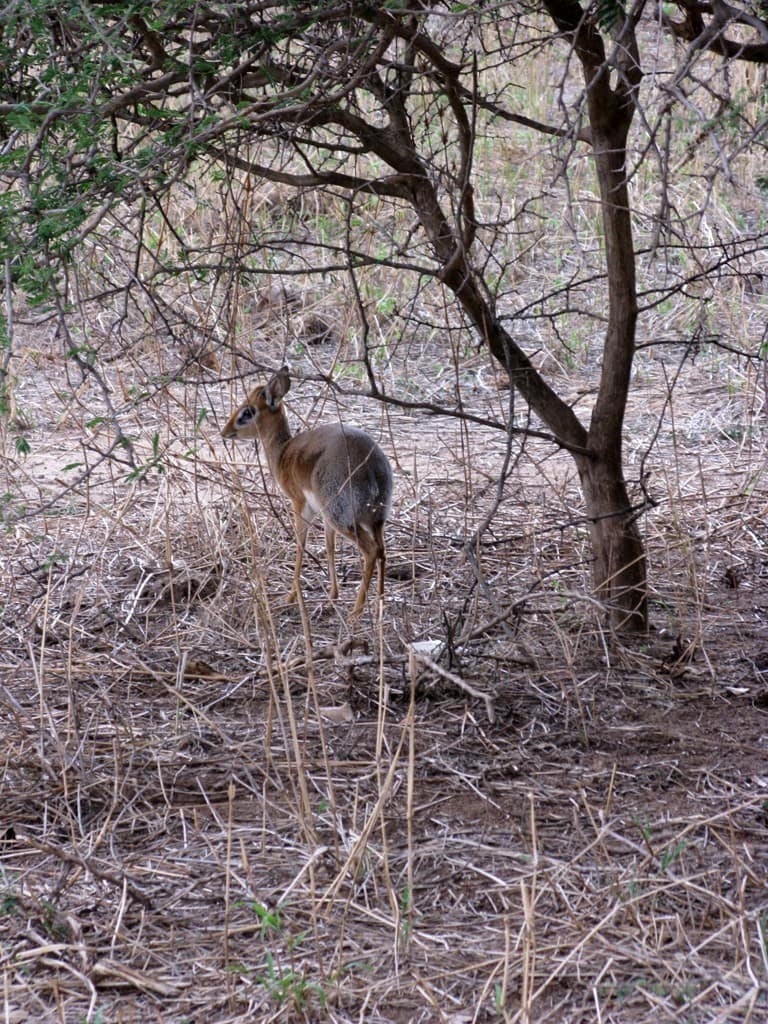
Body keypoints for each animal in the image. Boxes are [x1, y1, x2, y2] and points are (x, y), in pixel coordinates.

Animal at [221, 367, 393, 616]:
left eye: (248, 411)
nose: (225, 431)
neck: (283, 452)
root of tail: (371, 466)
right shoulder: (324, 517)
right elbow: (329, 548)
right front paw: (333, 595)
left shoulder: (301, 504)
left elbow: (300, 546)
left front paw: (290, 597)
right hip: (375, 519)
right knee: (381, 550)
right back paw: (379, 604)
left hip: (344, 518)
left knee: (371, 551)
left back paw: (355, 613)